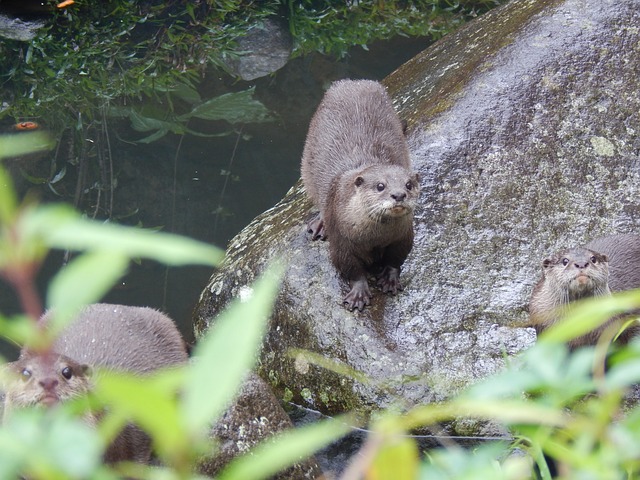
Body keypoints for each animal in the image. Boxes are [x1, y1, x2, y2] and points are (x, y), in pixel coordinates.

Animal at [300, 79, 420, 312]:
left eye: (409, 185)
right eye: (380, 186)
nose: (399, 195)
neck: (375, 236)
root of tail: (352, 82)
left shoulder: (404, 235)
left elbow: (397, 258)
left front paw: (390, 279)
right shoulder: (341, 240)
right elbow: (350, 269)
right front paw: (358, 294)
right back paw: (319, 225)